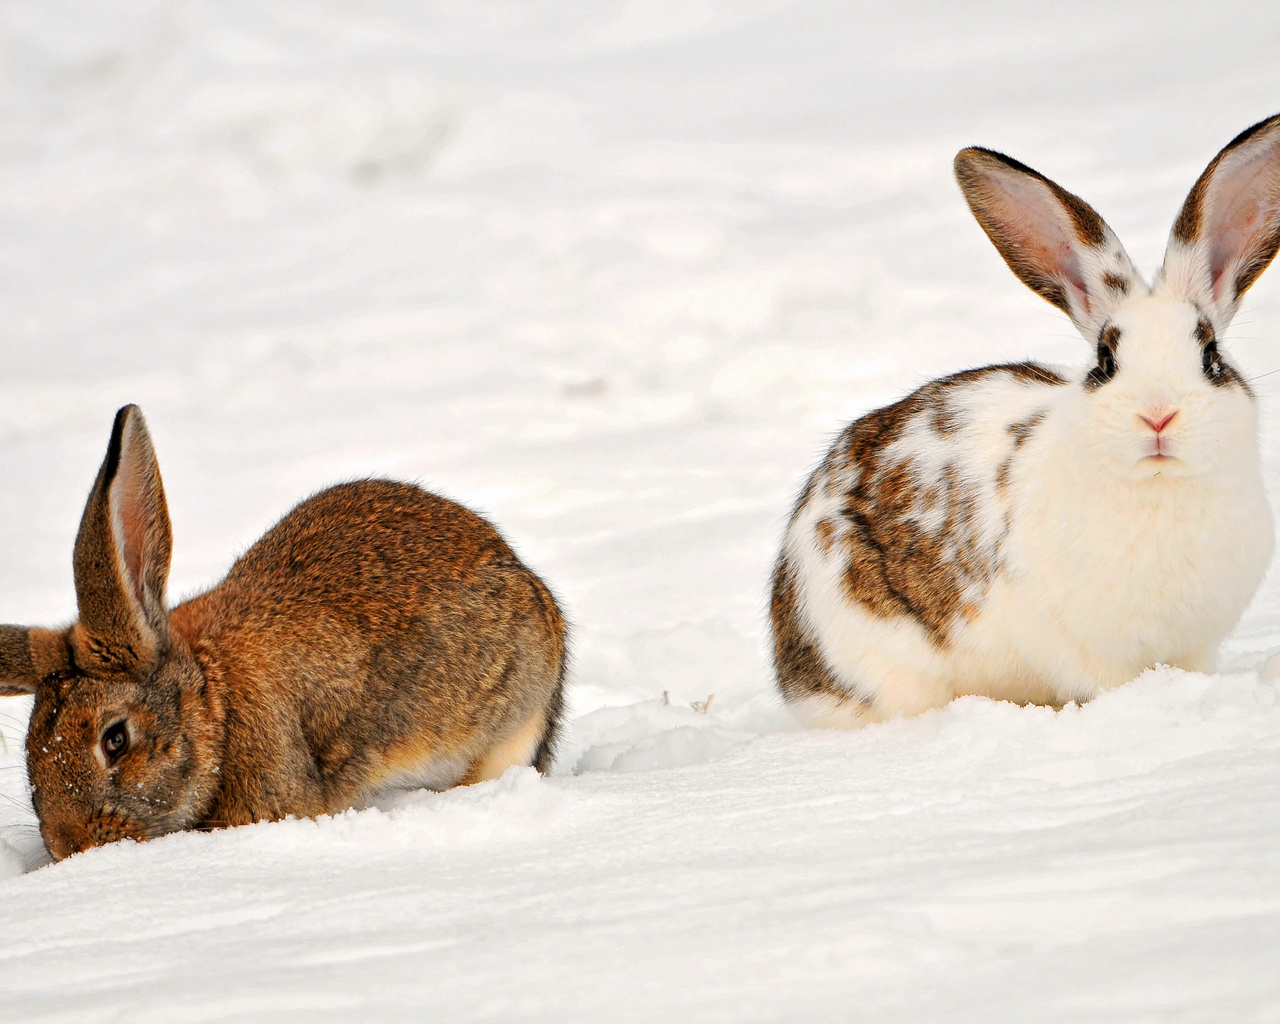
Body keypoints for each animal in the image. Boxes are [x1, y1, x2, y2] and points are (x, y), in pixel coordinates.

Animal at [768, 113, 1280, 727]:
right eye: (1105, 362)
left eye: (1210, 357)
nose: (1157, 416)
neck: (1159, 489)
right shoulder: (1080, 649)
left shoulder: (1194, 645)